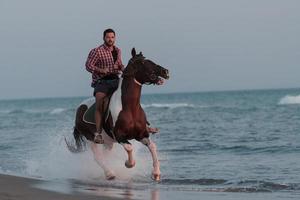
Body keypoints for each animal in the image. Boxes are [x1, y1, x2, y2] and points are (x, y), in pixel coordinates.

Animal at [65, 47, 169, 180]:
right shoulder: (119, 136)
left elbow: (152, 147)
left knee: (105, 156)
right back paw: (110, 174)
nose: (165, 71)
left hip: (108, 142)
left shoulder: (141, 134)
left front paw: (156, 173)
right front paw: (128, 164)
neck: (130, 107)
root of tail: (79, 108)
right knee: (98, 157)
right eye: (143, 62)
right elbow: (129, 147)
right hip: (91, 139)